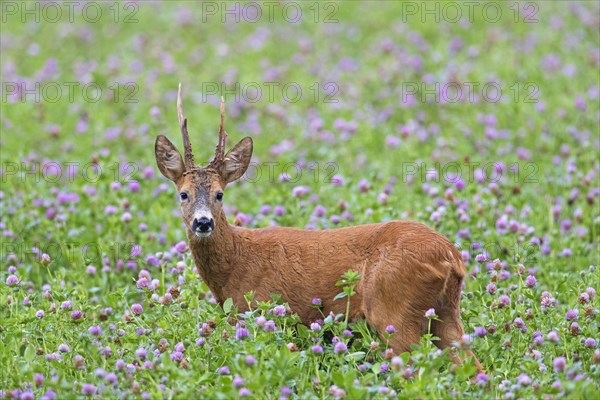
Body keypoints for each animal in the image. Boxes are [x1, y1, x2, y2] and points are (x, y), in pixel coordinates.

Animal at [155, 84, 482, 372]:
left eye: (219, 194)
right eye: (183, 194)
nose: (203, 222)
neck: (236, 264)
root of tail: (451, 257)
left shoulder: (262, 310)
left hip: (396, 311)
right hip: (446, 313)